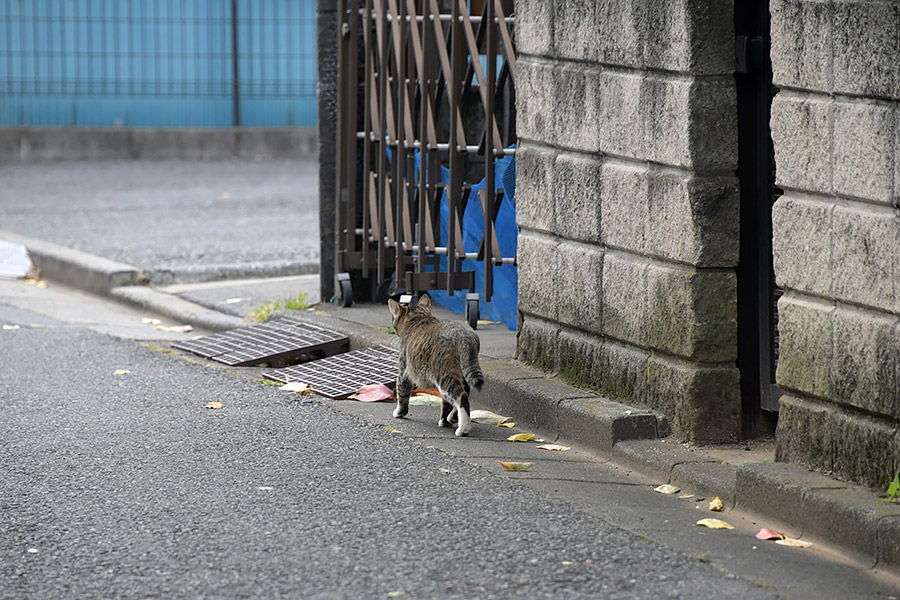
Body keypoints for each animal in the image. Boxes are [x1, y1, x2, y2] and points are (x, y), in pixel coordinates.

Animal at [388, 294, 486, 438]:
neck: (418, 318)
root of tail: (462, 335)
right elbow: (446, 404)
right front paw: (445, 420)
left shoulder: (405, 371)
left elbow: (402, 394)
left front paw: (399, 412)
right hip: (460, 372)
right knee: (461, 395)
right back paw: (450, 419)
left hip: (444, 375)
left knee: (460, 396)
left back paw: (463, 428)